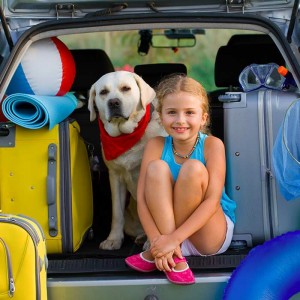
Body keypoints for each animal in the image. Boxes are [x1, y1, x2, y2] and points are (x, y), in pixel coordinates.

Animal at [88, 69, 166, 248]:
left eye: (126, 88)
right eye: (103, 92)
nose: (114, 102)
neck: (126, 136)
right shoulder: (115, 177)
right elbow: (117, 213)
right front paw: (113, 239)